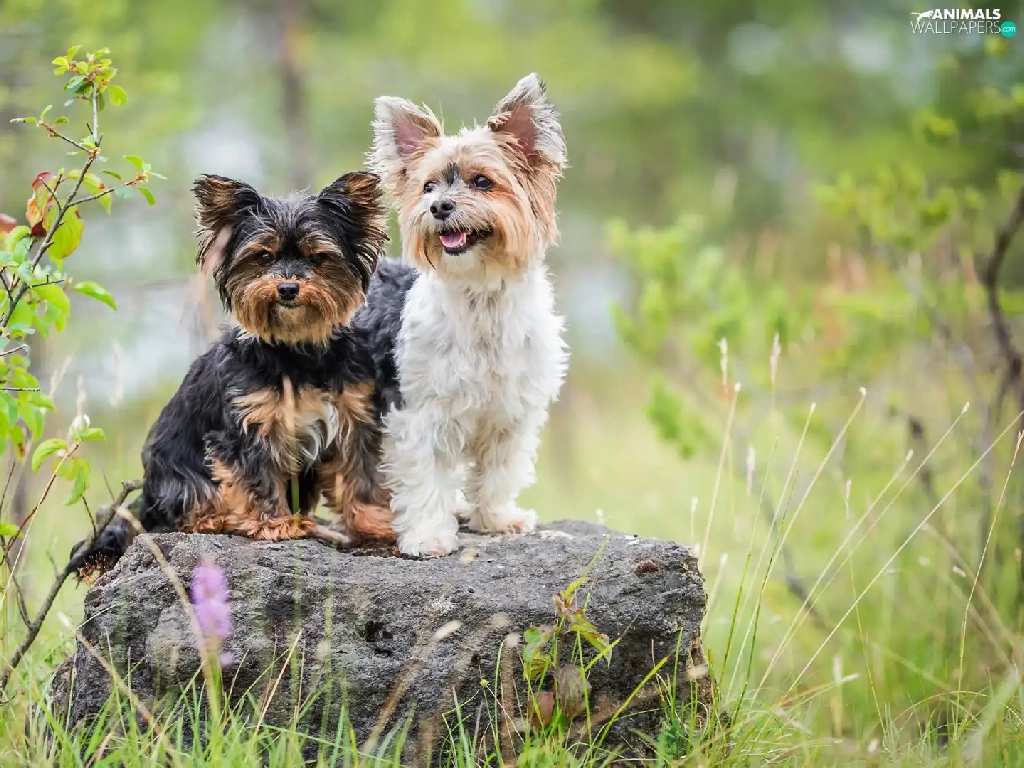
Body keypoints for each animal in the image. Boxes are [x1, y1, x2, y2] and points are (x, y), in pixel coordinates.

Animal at [70, 171, 394, 575]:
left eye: (317, 258)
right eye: (263, 256)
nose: (287, 287)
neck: (296, 352)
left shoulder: (352, 414)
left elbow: (359, 473)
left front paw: (374, 523)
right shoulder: (248, 427)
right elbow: (256, 475)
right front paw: (274, 525)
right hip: (180, 479)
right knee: (185, 511)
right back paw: (222, 519)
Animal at [356, 73, 569, 557]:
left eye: (483, 182)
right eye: (428, 186)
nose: (439, 207)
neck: (481, 294)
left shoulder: (511, 414)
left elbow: (498, 471)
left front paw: (496, 519)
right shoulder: (421, 412)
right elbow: (425, 477)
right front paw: (429, 536)